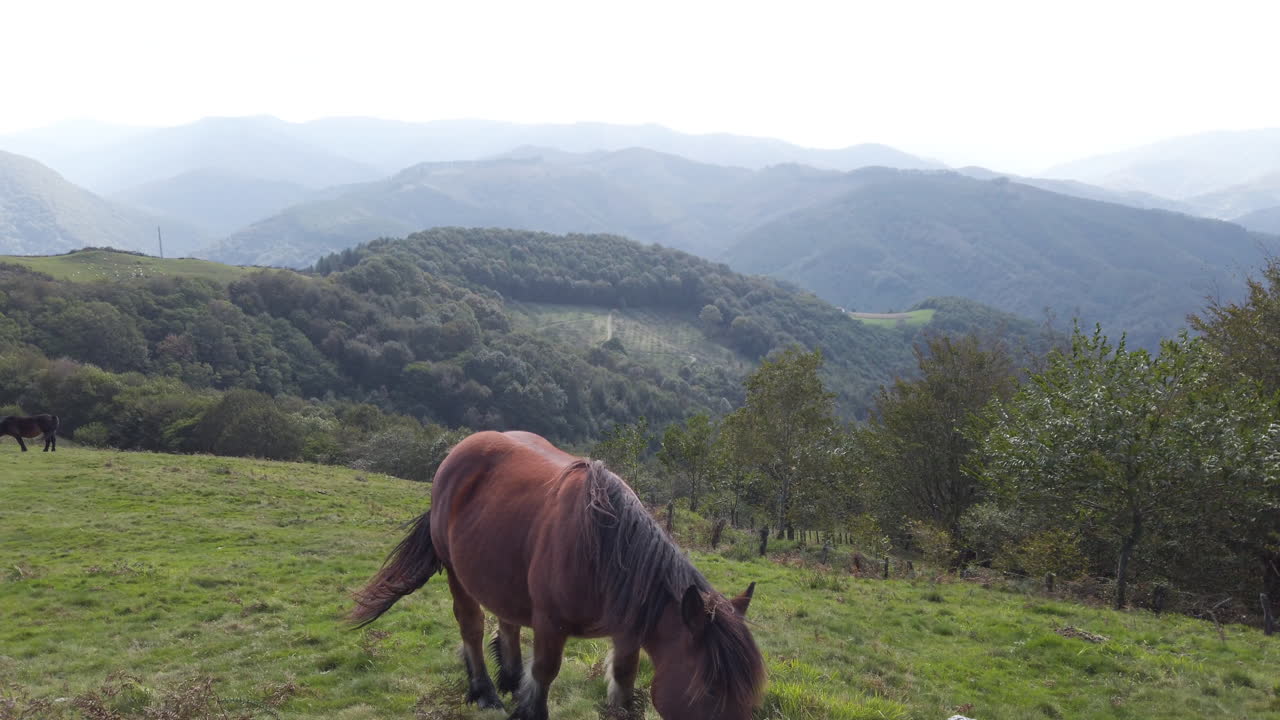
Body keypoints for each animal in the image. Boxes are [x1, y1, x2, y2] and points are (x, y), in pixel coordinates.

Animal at [350, 430, 765, 720]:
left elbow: (624, 678)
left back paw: (511, 679)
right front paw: (526, 708)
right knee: (471, 626)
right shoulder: (551, 624)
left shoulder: (627, 633)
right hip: (457, 572)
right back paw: (486, 692)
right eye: (711, 691)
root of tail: (458, 452)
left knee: (508, 622)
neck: (605, 553)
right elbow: (546, 671)